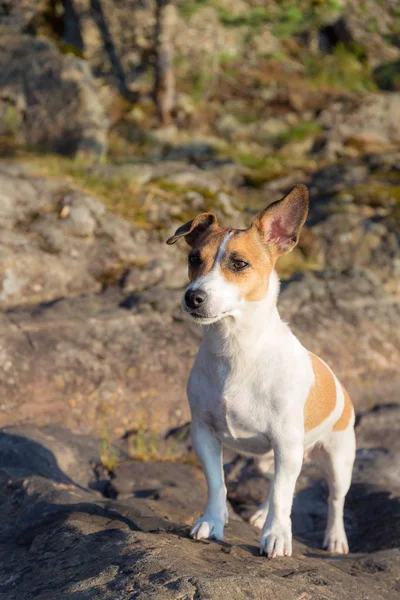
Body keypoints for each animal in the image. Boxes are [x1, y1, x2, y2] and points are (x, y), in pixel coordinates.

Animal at [167, 185, 354, 560]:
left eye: (239, 263)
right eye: (194, 258)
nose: (192, 297)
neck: (236, 349)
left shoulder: (286, 443)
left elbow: (283, 496)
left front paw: (277, 537)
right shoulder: (203, 434)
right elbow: (218, 484)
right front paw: (212, 521)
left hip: (338, 460)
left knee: (333, 500)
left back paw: (335, 538)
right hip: (272, 458)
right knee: (277, 484)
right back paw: (259, 514)